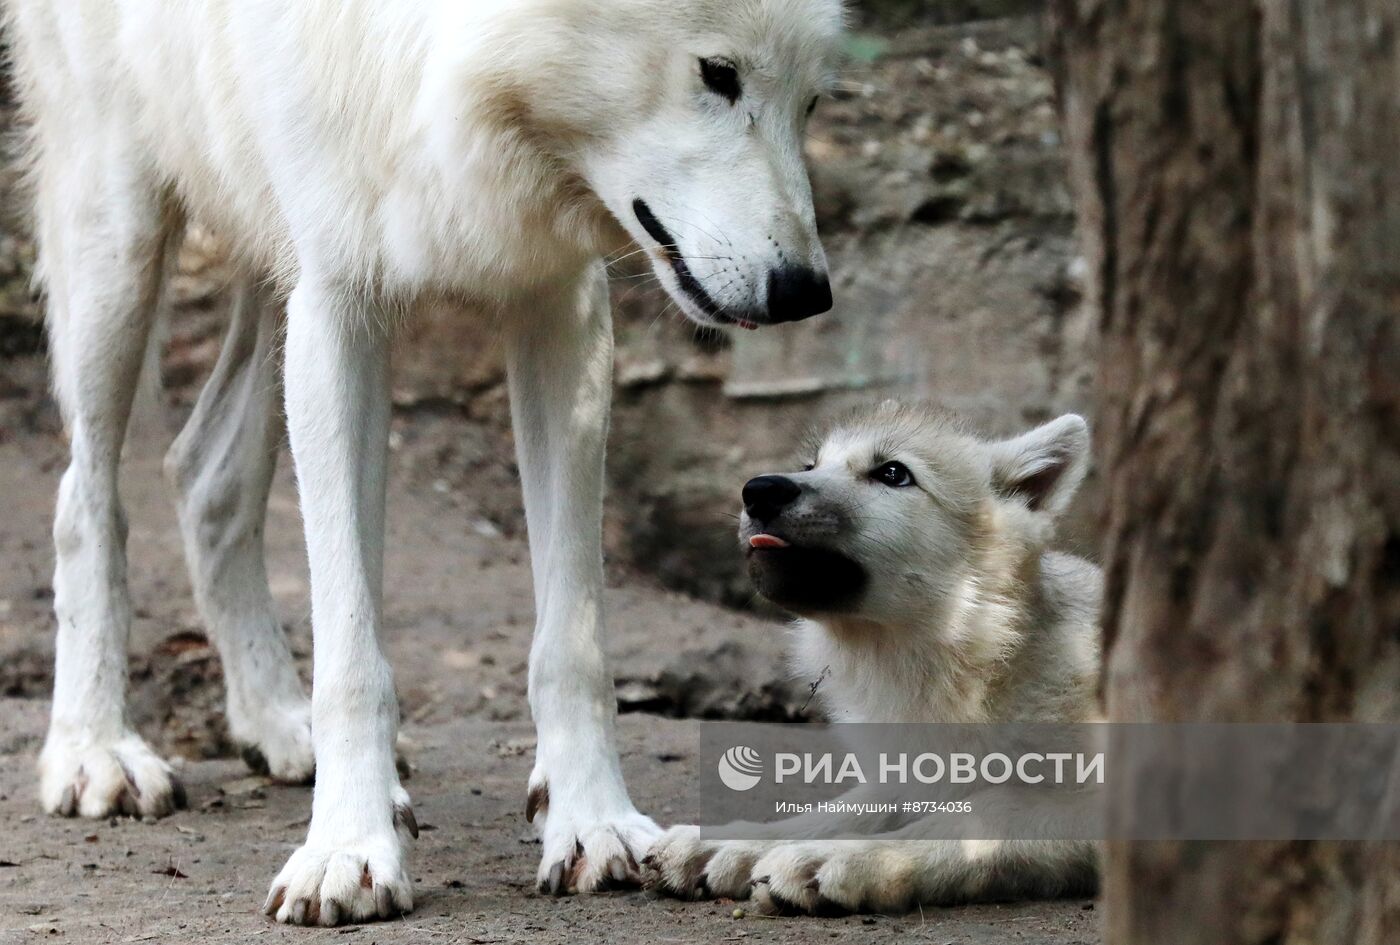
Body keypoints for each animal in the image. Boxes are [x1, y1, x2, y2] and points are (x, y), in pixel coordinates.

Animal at [2, 0, 840, 929]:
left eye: (812, 101)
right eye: (717, 74)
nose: (807, 292)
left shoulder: (559, 300)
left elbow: (574, 639)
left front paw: (594, 826)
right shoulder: (337, 304)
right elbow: (351, 651)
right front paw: (347, 850)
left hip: (264, 249)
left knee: (203, 471)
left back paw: (276, 722)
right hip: (118, 233)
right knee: (87, 498)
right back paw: (95, 751)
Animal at [646, 406, 1103, 918]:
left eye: (892, 473)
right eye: (811, 465)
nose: (759, 489)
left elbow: (984, 814)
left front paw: (837, 860)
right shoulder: (907, 774)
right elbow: (838, 812)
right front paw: (726, 844)